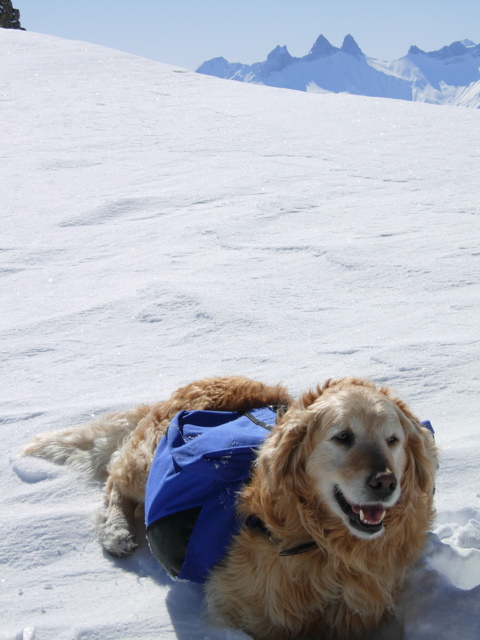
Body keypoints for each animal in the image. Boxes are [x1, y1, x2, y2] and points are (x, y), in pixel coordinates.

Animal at [24, 378, 436, 636]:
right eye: (343, 437)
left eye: (393, 440)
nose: (385, 483)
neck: (326, 549)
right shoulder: (243, 609)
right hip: (146, 462)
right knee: (114, 478)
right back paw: (117, 532)